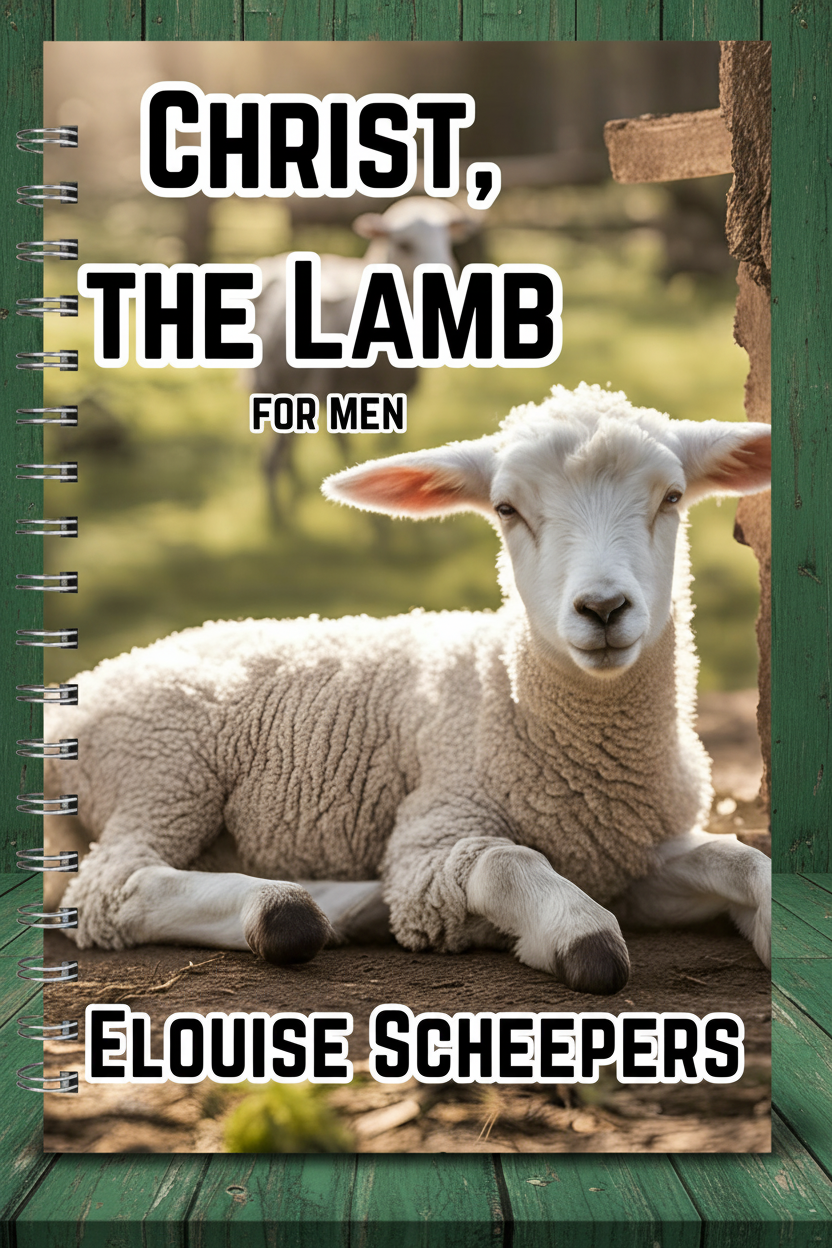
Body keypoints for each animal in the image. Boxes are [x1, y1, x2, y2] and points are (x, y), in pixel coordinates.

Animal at [46, 383, 772, 996]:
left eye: (671, 497)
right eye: (507, 509)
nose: (602, 608)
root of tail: (76, 691)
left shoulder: (633, 855)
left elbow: (739, 860)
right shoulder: (433, 827)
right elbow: (506, 864)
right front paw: (571, 931)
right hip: (164, 770)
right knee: (110, 890)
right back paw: (282, 906)